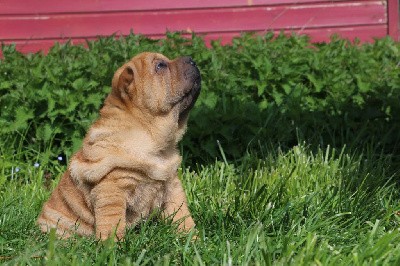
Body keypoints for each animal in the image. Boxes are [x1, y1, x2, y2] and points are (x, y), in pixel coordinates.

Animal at [36, 51, 200, 239]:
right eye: (160, 65)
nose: (192, 60)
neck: (152, 138)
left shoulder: (171, 185)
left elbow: (182, 215)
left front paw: (192, 239)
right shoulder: (112, 189)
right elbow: (113, 222)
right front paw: (113, 245)